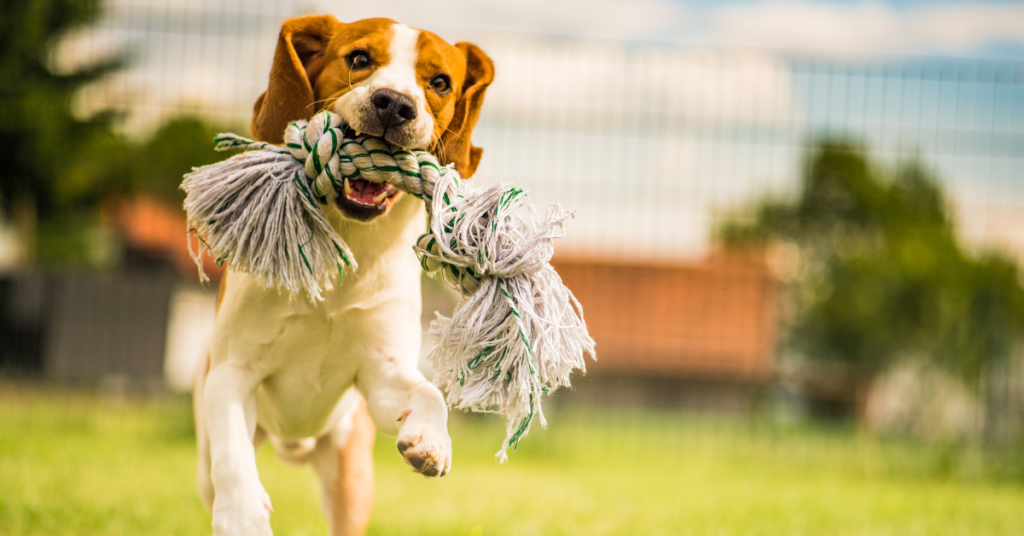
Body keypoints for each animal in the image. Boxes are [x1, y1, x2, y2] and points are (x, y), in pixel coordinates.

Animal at [192, 14, 495, 532]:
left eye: (440, 82)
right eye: (359, 58)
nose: (394, 104)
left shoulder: (381, 373)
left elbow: (429, 392)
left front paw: (431, 439)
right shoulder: (232, 370)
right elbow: (233, 456)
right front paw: (243, 514)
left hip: (349, 474)